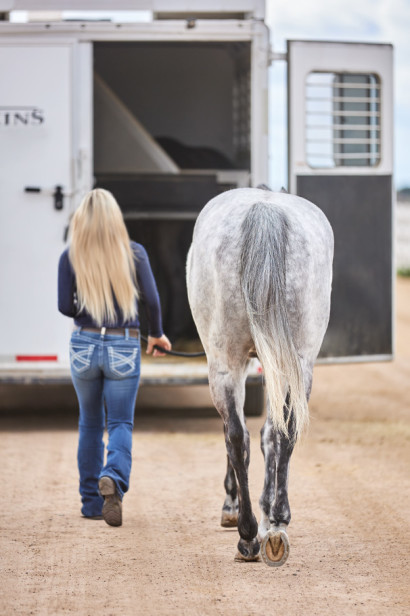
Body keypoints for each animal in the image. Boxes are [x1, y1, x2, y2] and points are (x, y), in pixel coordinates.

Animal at [186, 188, 334, 568]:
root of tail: (265, 209)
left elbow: (239, 436)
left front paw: (234, 508)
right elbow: (271, 433)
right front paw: (270, 515)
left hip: (224, 363)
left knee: (237, 437)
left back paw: (248, 535)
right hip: (299, 364)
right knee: (283, 431)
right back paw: (277, 524)